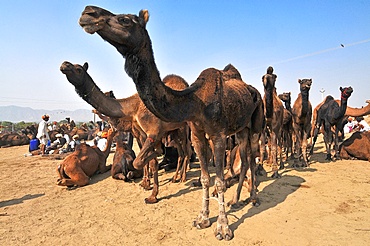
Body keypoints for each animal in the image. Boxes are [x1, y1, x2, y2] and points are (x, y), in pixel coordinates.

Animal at [60, 60, 191, 203]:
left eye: (78, 69)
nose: (64, 64)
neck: (133, 107)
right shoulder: (142, 133)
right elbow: (150, 161)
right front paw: (148, 187)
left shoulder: (153, 131)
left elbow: (144, 160)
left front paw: (151, 192)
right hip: (174, 131)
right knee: (181, 152)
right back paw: (176, 177)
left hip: (185, 126)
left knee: (188, 150)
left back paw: (183, 177)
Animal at [78, 6, 264, 240]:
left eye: (125, 20)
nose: (88, 13)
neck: (196, 101)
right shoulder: (197, 134)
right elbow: (205, 178)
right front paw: (202, 219)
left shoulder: (218, 135)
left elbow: (219, 181)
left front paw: (223, 228)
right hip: (240, 129)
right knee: (246, 158)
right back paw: (236, 199)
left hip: (256, 123)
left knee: (253, 156)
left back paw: (253, 197)